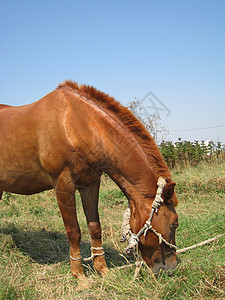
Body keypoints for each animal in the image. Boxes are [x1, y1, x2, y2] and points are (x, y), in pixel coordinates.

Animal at [0, 81, 179, 278]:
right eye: (174, 224)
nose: (172, 268)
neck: (74, 123)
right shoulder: (63, 184)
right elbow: (73, 231)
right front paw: (80, 276)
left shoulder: (90, 184)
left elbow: (95, 227)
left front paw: (103, 270)